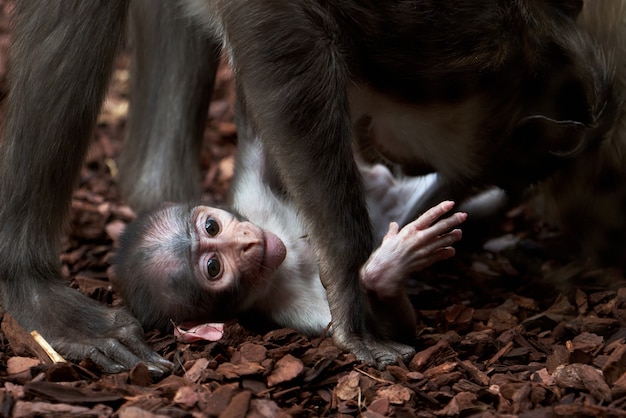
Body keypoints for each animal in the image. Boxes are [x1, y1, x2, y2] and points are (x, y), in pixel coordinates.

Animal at [111, 139, 464, 342]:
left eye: (211, 226)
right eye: (213, 267)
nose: (246, 243)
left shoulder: (249, 199)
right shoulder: (294, 313)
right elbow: (394, 336)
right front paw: (387, 270)